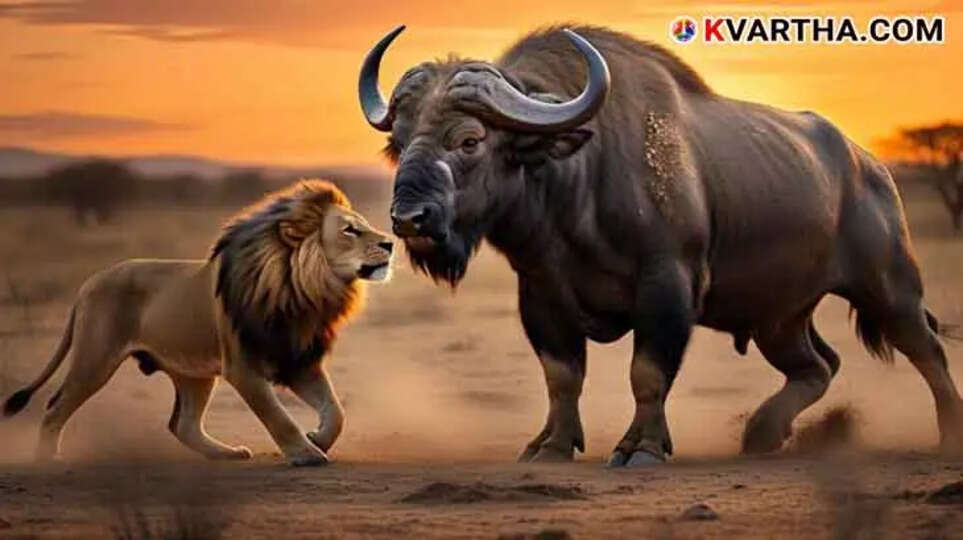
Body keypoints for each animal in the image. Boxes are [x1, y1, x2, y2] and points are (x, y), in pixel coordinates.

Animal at [2, 180, 393, 466]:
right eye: (350, 230)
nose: (390, 243)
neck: (301, 289)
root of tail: (89, 283)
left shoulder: (296, 359)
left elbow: (336, 410)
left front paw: (317, 439)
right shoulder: (242, 368)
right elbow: (277, 416)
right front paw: (305, 453)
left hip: (193, 372)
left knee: (183, 425)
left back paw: (227, 453)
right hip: (95, 359)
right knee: (55, 406)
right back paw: (46, 459)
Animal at [359, 25, 963, 465]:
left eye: (469, 140)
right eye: (398, 143)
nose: (409, 218)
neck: (578, 185)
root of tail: (870, 166)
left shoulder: (667, 286)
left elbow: (647, 374)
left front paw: (641, 448)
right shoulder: (541, 297)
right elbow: (561, 377)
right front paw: (551, 445)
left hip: (889, 287)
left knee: (926, 349)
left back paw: (948, 434)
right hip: (778, 317)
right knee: (818, 364)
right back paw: (763, 433)